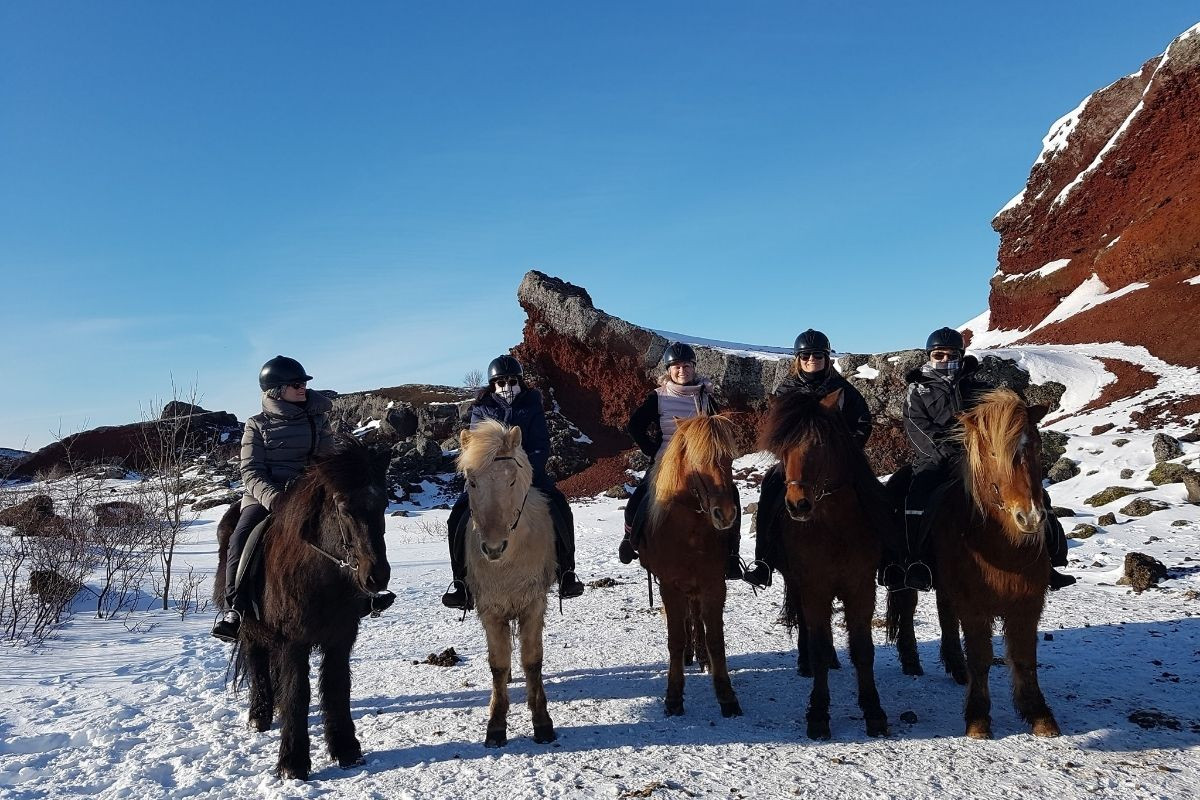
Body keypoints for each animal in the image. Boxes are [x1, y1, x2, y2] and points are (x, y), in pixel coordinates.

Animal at [213, 436, 391, 779]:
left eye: (384, 504)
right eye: (344, 508)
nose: (377, 576)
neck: (320, 577)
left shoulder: (341, 639)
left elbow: (336, 688)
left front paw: (346, 749)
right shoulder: (293, 641)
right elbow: (297, 693)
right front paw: (292, 763)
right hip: (250, 627)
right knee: (257, 663)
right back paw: (259, 714)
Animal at [457, 418, 559, 748]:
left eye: (512, 481)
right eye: (472, 482)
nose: (492, 548)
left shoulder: (533, 606)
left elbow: (533, 661)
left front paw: (542, 722)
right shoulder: (491, 610)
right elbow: (498, 665)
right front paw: (496, 724)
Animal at [637, 413, 743, 719]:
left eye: (729, 459)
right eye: (698, 461)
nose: (725, 513)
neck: (691, 533)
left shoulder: (714, 584)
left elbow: (716, 639)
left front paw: (726, 696)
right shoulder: (670, 587)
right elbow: (675, 639)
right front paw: (673, 698)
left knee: (695, 617)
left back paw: (701, 655)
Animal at [762, 388, 890, 740]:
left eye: (819, 444)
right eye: (782, 447)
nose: (798, 505)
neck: (835, 528)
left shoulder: (861, 588)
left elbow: (863, 649)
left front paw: (873, 710)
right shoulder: (814, 586)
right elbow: (817, 643)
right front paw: (818, 714)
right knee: (807, 628)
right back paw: (806, 662)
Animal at [894, 388, 1060, 739]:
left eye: (1037, 446)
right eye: (994, 452)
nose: (1030, 517)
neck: (999, 546)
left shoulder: (1028, 603)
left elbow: (1025, 658)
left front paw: (1039, 715)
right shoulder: (974, 606)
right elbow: (982, 659)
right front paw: (978, 718)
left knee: (945, 614)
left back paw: (956, 667)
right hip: (903, 576)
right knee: (907, 608)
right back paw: (912, 661)